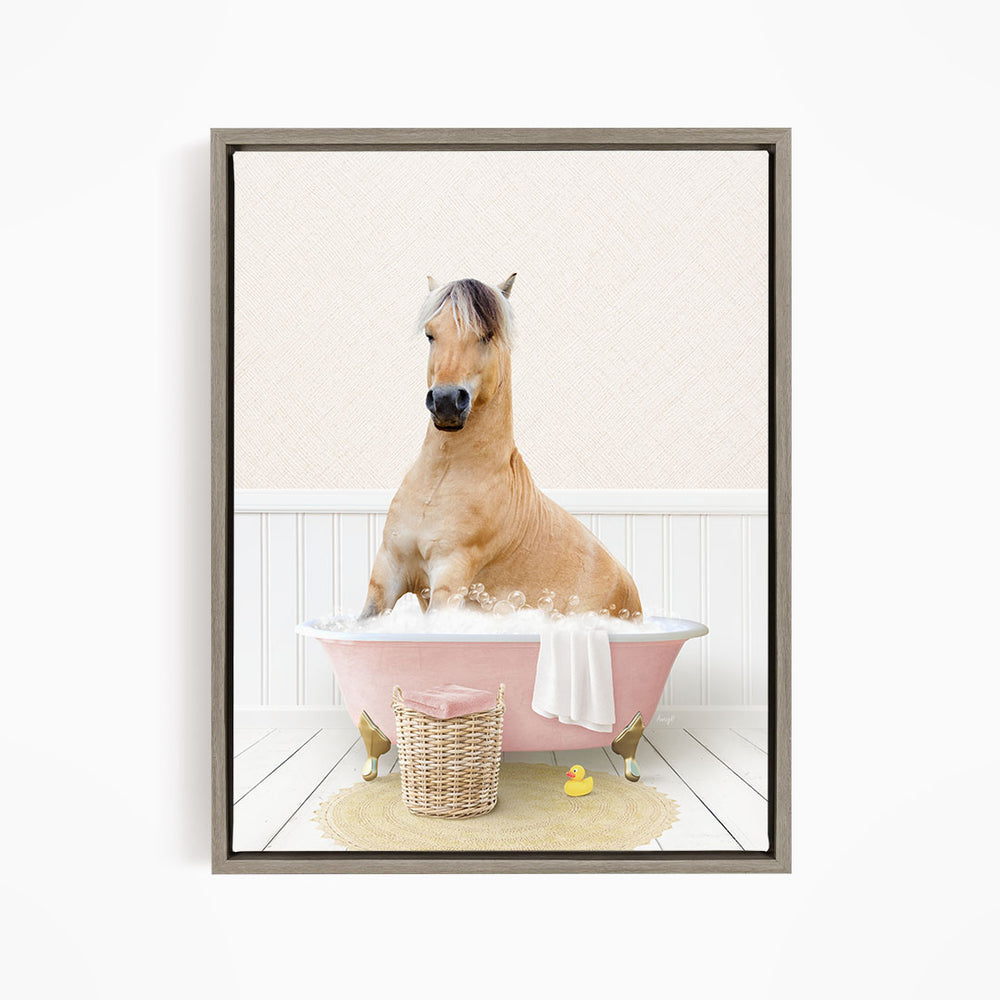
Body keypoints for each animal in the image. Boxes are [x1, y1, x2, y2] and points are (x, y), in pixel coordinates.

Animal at [360, 274, 642, 619]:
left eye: (486, 334)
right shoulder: (388, 570)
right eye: (430, 334)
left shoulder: (450, 575)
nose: (445, 402)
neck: (441, 480)